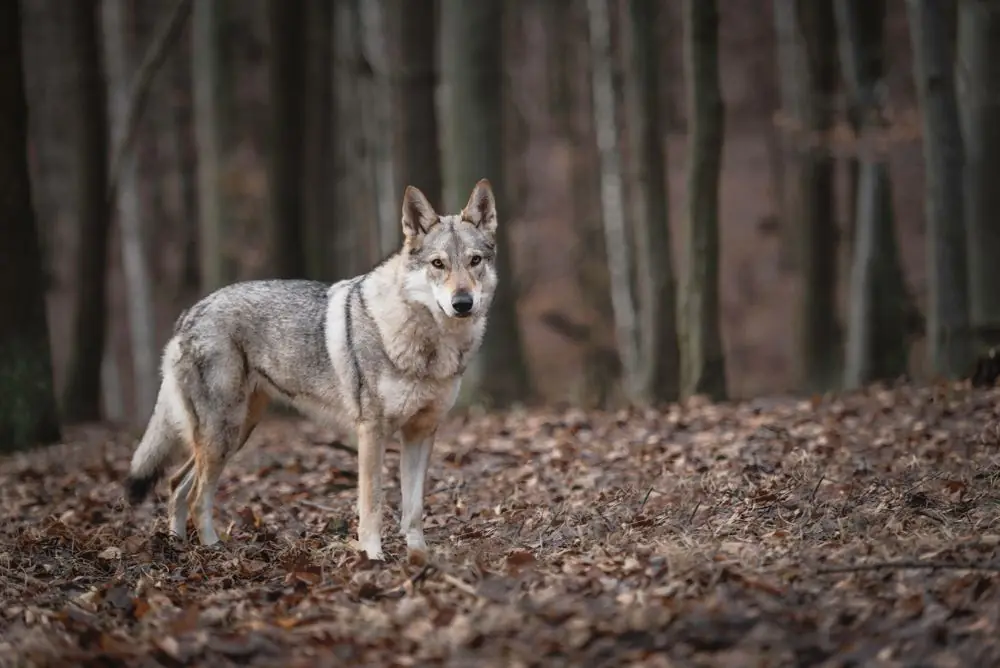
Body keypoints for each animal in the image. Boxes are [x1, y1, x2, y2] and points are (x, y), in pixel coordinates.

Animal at [123, 180, 499, 562]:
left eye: (475, 261)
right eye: (438, 264)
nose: (463, 303)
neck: (426, 342)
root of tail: (190, 312)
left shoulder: (421, 432)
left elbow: (414, 508)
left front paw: (419, 558)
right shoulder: (371, 432)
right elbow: (372, 504)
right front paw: (372, 558)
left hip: (236, 432)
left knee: (176, 484)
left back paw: (178, 547)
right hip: (223, 435)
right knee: (198, 496)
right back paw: (215, 552)